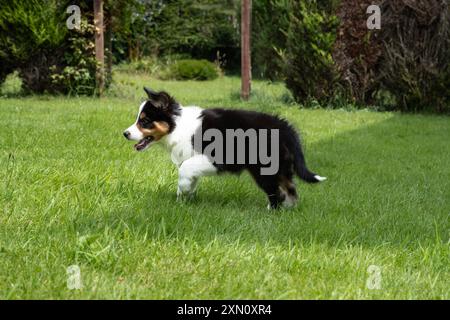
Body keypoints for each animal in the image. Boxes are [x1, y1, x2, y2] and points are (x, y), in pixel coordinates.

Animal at [125, 87, 326, 210]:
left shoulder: (213, 158)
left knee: (276, 191)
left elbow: (184, 170)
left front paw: (182, 192)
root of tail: (285, 127)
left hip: (263, 168)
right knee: (290, 188)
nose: (125, 133)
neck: (178, 126)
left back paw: (271, 211)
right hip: (282, 166)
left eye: (144, 121)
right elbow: (190, 177)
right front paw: (184, 199)